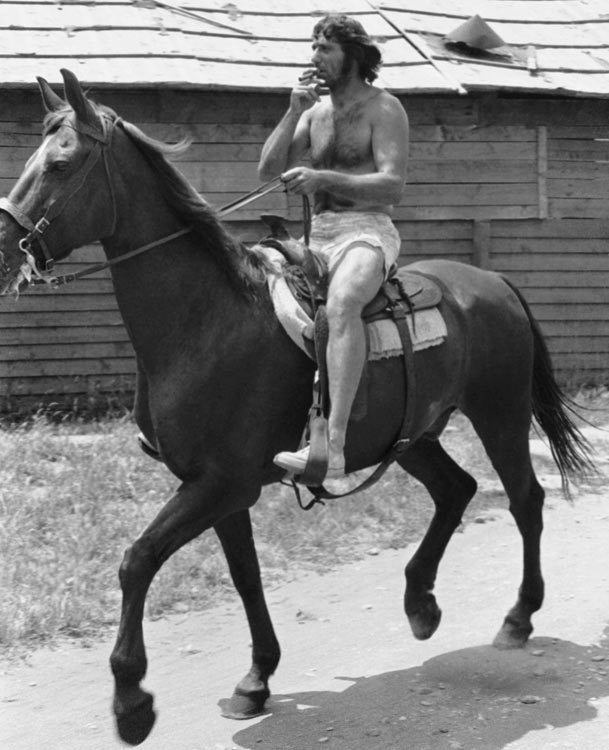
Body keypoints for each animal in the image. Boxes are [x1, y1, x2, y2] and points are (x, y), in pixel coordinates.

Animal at [0, 70, 593, 746]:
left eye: (61, 164)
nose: (4, 242)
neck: (207, 319)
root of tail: (492, 283)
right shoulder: (219, 489)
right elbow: (245, 576)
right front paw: (256, 678)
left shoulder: (220, 483)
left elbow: (137, 560)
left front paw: (132, 702)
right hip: (412, 437)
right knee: (457, 490)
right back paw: (420, 603)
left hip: (500, 415)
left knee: (525, 499)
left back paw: (519, 616)